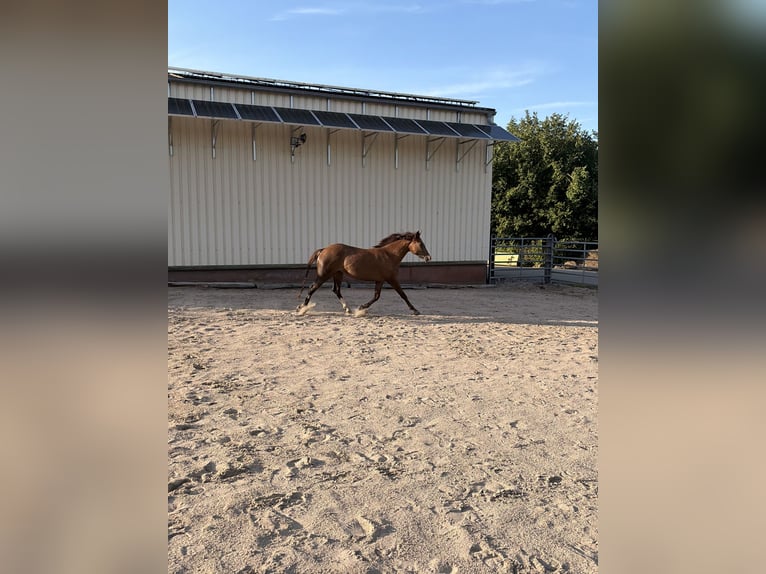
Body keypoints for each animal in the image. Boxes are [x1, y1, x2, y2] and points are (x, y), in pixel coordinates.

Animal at [296, 231, 431, 316]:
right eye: (420, 244)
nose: (428, 258)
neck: (389, 255)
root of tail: (323, 250)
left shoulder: (380, 280)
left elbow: (376, 296)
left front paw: (361, 308)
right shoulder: (391, 279)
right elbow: (403, 295)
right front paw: (415, 311)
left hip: (338, 274)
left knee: (336, 290)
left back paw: (348, 309)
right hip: (324, 274)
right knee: (312, 288)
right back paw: (301, 308)